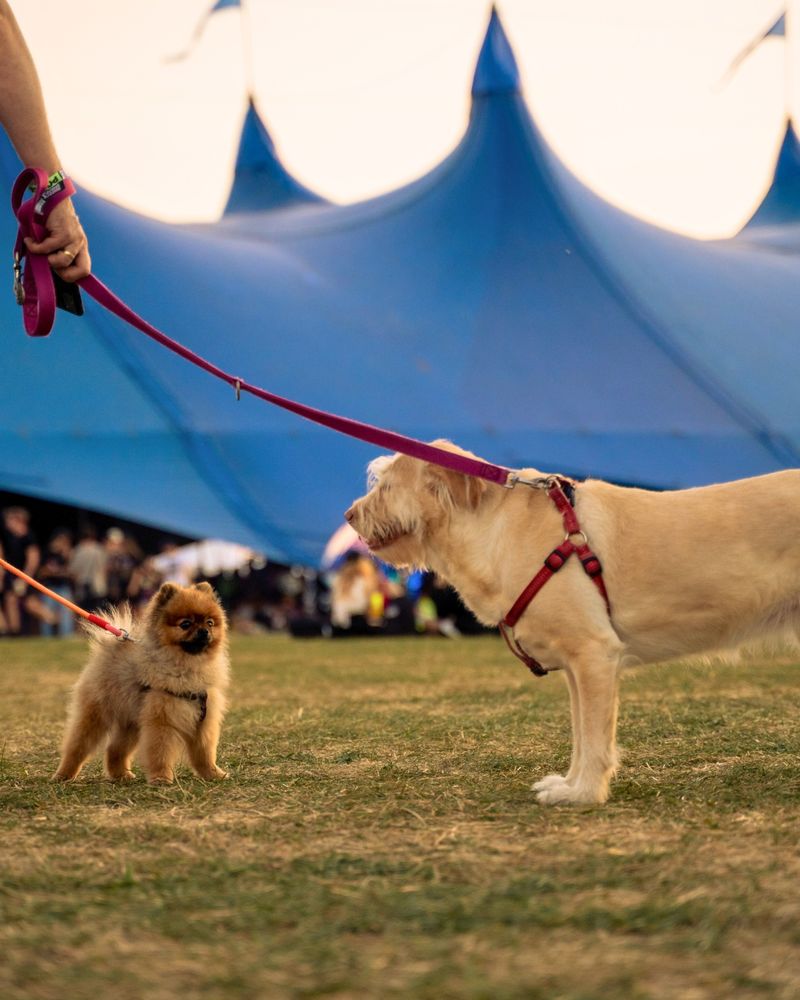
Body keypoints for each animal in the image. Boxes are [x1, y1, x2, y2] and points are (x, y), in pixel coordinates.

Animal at [53, 584, 230, 784]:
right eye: (185, 624)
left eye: (210, 623)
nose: (204, 631)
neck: (188, 667)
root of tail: (111, 648)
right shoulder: (161, 721)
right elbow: (160, 753)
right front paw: (161, 778)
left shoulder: (204, 723)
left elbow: (205, 754)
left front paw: (213, 774)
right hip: (96, 715)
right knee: (77, 746)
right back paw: (63, 774)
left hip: (130, 722)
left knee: (114, 749)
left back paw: (121, 775)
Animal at [344, 442, 800, 808]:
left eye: (386, 486)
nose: (349, 515)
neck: (494, 530)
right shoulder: (577, 668)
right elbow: (582, 735)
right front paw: (570, 783)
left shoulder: (594, 654)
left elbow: (595, 738)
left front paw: (583, 794)